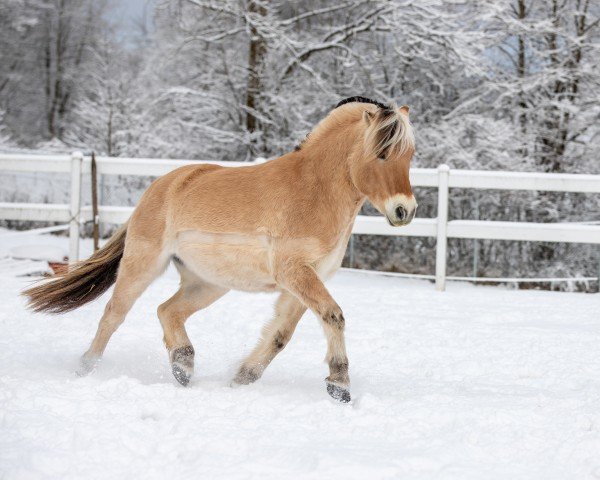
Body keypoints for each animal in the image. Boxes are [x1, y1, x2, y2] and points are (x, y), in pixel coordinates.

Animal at [23, 95, 418, 404]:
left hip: (208, 283)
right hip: (143, 266)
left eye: (410, 155)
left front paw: (242, 378)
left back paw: (183, 366)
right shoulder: (294, 271)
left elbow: (280, 335)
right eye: (383, 153)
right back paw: (86, 368)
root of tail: (160, 186)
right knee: (113, 315)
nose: (405, 211)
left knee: (167, 311)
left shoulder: (305, 279)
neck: (312, 191)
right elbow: (333, 315)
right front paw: (340, 386)